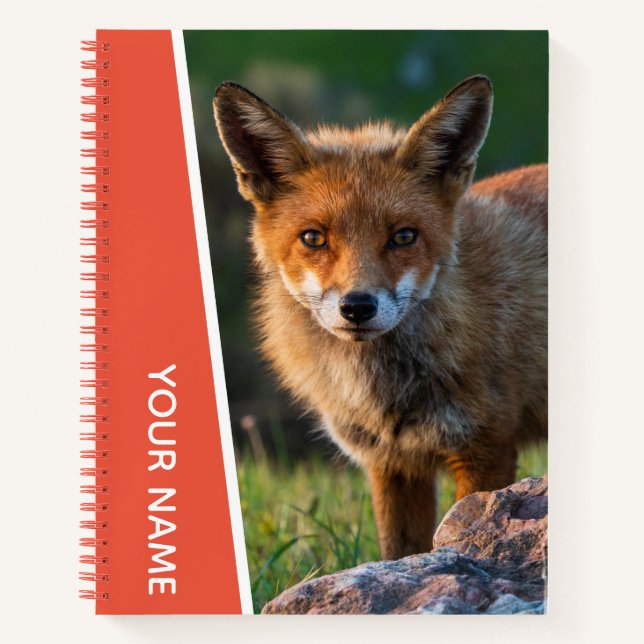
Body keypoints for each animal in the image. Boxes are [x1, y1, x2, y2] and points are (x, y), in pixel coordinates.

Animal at [213, 75, 547, 560]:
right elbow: (400, 552)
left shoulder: (485, 448)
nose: (357, 306)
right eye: (313, 238)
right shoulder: (391, 462)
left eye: (403, 236)